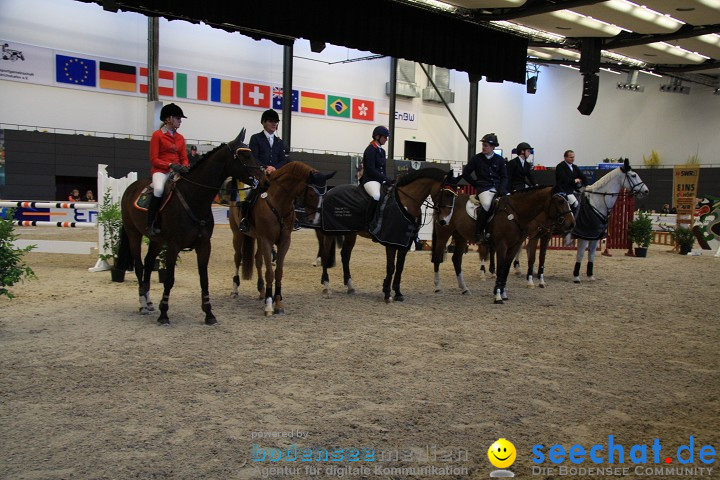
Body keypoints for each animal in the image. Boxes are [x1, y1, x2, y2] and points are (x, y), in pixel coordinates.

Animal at [116, 128, 266, 326]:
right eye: (246, 155)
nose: (265, 181)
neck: (194, 198)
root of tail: (130, 187)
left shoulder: (204, 246)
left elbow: (204, 279)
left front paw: (209, 314)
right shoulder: (173, 246)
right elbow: (169, 280)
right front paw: (164, 314)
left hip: (156, 241)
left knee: (148, 264)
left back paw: (148, 302)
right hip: (134, 234)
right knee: (140, 266)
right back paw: (142, 305)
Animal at [228, 161, 334, 316]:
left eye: (325, 194)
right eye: (311, 193)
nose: (315, 220)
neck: (279, 203)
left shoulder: (284, 241)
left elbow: (278, 272)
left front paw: (278, 302)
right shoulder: (267, 240)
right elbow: (270, 273)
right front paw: (269, 305)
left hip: (258, 238)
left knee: (258, 260)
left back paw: (261, 291)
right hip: (238, 234)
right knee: (237, 258)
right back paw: (235, 289)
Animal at [320, 169, 456, 302]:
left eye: (455, 195)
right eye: (447, 194)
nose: (445, 221)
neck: (406, 202)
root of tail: (329, 192)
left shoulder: (404, 242)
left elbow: (400, 267)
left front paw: (398, 293)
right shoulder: (390, 240)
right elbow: (391, 267)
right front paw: (387, 294)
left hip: (351, 233)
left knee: (345, 255)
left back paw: (350, 286)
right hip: (330, 232)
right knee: (325, 255)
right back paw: (327, 286)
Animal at [430, 186, 576, 302]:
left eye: (568, 202)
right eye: (561, 202)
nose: (572, 223)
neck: (515, 213)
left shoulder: (515, 245)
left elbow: (506, 268)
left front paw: (503, 293)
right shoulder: (503, 245)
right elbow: (502, 267)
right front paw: (498, 295)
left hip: (460, 237)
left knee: (456, 260)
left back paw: (464, 288)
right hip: (444, 234)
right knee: (437, 258)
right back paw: (437, 287)